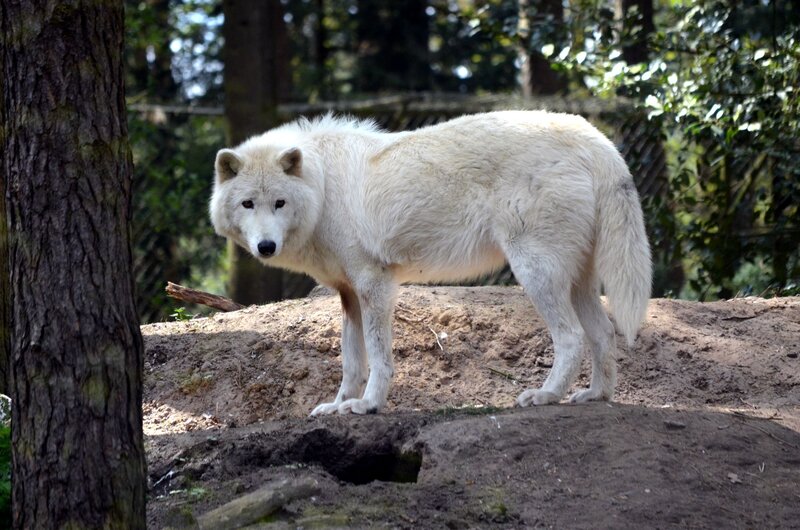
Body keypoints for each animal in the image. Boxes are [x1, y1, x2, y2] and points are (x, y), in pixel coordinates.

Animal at [210, 111, 652, 415]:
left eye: (279, 203)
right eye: (247, 204)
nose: (266, 246)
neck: (322, 188)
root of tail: (593, 138)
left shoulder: (374, 285)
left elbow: (378, 357)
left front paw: (369, 406)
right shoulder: (348, 294)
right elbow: (351, 363)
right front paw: (339, 406)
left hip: (536, 273)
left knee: (572, 337)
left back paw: (545, 395)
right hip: (577, 282)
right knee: (604, 334)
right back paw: (595, 395)